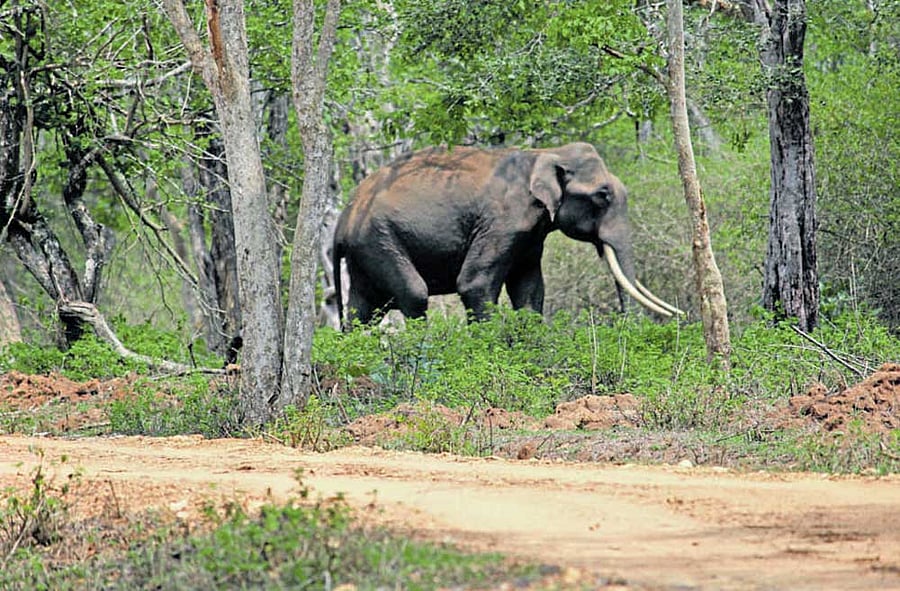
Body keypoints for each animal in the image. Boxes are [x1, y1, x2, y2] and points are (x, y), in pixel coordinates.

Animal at [331, 142, 682, 327]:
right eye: (602, 196)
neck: (544, 153)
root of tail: (342, 221)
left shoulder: (530, 237)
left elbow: (529, 289)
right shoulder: (502, 223)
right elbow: (475, 284)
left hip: (366, 253)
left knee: (363, 308)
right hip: (380, 240)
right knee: (413, 294)